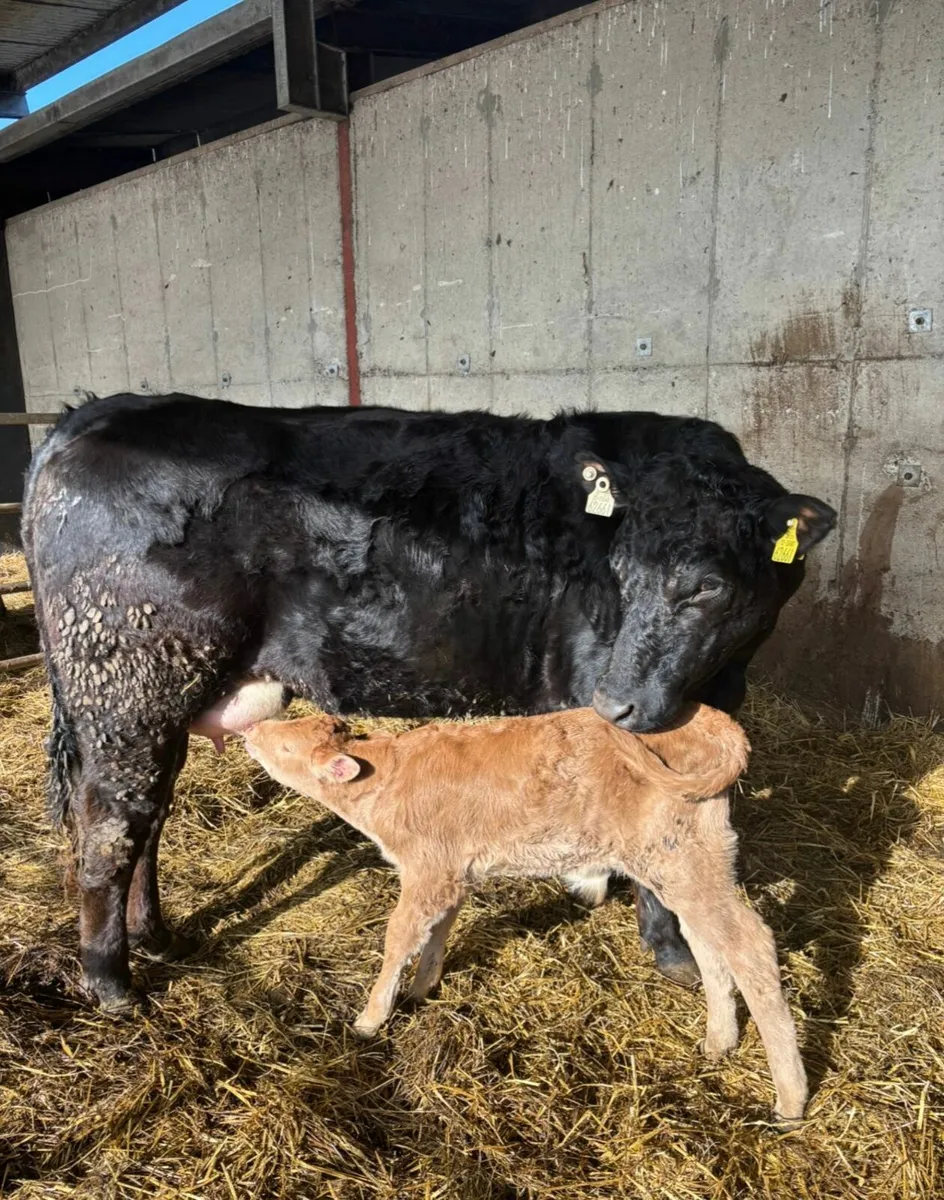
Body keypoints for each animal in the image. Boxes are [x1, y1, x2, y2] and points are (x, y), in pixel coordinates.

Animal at [21, 393, 836, 1012]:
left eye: (709, 584)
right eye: (621, 571)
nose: (618, 700)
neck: (715, 682)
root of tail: (96, 414)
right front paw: (671, 950)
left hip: (152, 701)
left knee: (147, 818)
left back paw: (156, 936)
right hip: (128, 682)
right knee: (111, 826)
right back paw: (113, 984)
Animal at [241, 704, 808, 1125]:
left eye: (285, 746)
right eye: (285, 729)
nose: (249, 729)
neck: (386, 778)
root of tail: (709, 719)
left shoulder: (427, 869)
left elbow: (399, 938)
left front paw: (369, 1020)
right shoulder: (454, 871)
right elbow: (439, 930)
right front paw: (425, 988)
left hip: (682, 859)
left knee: (750, 943)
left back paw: (790, 1099)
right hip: (690, 863)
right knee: (710, 943)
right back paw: (718, 1042)